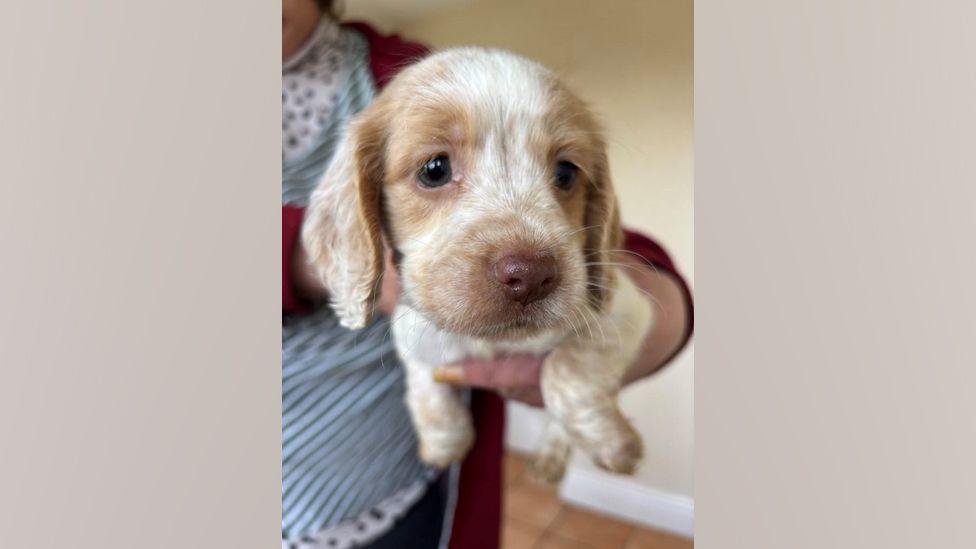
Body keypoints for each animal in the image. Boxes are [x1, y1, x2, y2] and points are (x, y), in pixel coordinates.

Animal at [304, 49, 656, 482]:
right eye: (434, 169)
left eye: (566, 172)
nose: (531, 275)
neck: (492, 340)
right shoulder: (414, 332)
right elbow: (428, 388)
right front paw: (443, 445)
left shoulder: (624, 313)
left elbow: (565, 369)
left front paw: (610, 442)